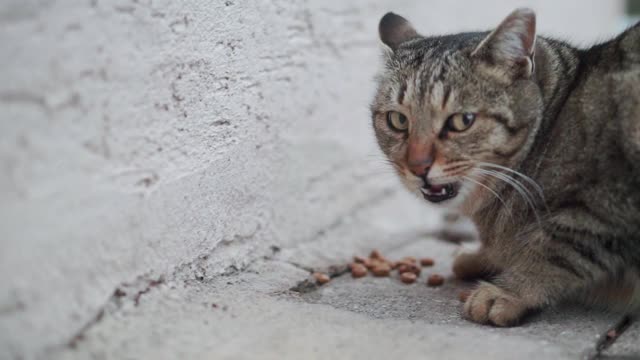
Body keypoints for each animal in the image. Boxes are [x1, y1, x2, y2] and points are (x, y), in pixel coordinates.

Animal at [370, 7, 640, 326]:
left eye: (462, 121)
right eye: (398, 120)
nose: (417, 166)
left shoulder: (605, 200)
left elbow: (557, 247)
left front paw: (509, 291)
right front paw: (484, 257)